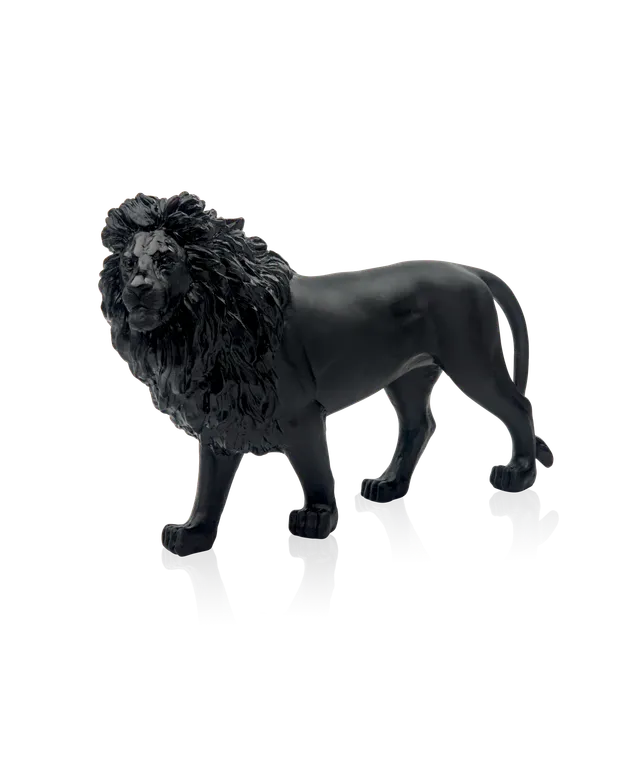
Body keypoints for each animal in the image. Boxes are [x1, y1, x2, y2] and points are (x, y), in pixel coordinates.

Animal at [98, 191, 553, 557]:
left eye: (165, 259)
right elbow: (210, 486)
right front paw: (192, 536)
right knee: (419, 424)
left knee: (517, 406)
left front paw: (315, 518)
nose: (136, 288)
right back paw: (387, 487)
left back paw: (518, 473)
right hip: (407, 376)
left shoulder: (298, 412)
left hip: (471, 360)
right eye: (129, 262)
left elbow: (314, 467)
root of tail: (471, 270)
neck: (201, 325)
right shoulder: (221, 415)